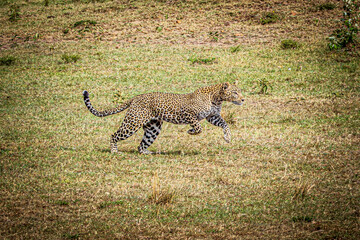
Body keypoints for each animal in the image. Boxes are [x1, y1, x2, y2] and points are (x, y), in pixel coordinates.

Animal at [82, 82, 245, 154]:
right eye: (235, 92)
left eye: (239, 91)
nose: (243, 99)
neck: (217, 98)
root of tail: (136, 97)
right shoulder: (189, 113)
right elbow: (198, 127)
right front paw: (191, 132)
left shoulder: (213, 116)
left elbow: (225, 124)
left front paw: (227, 137)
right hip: (133, 122)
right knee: (114, 135)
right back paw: (115, 151)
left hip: (153, 127)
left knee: (142, 144)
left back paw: (147, 153)